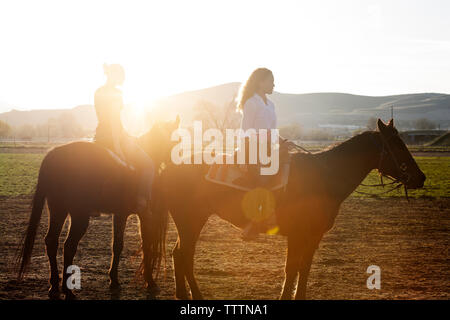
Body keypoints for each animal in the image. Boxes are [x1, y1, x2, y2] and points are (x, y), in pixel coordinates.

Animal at [17, 117, 179, 300]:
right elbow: (147, 245)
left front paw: (114, 280)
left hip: (58, 210)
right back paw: (67, 290)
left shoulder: (121, 214)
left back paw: (54, 286)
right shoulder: (145, 215)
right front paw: (150, 281)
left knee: (51, 241)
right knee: (69, 246)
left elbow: (117, 245)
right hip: (79, 216)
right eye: (175, 140)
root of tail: (54, 154)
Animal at [159, 118, 426, 300]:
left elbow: (303, 268)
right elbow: (291, 268)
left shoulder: (313, 236)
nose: (420, 177)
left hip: (189, 222)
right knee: (185, 256)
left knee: (177, 254)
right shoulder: (297, 235)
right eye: (397, 146)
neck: (323, 177)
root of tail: (170, 165)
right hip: (190, 220)